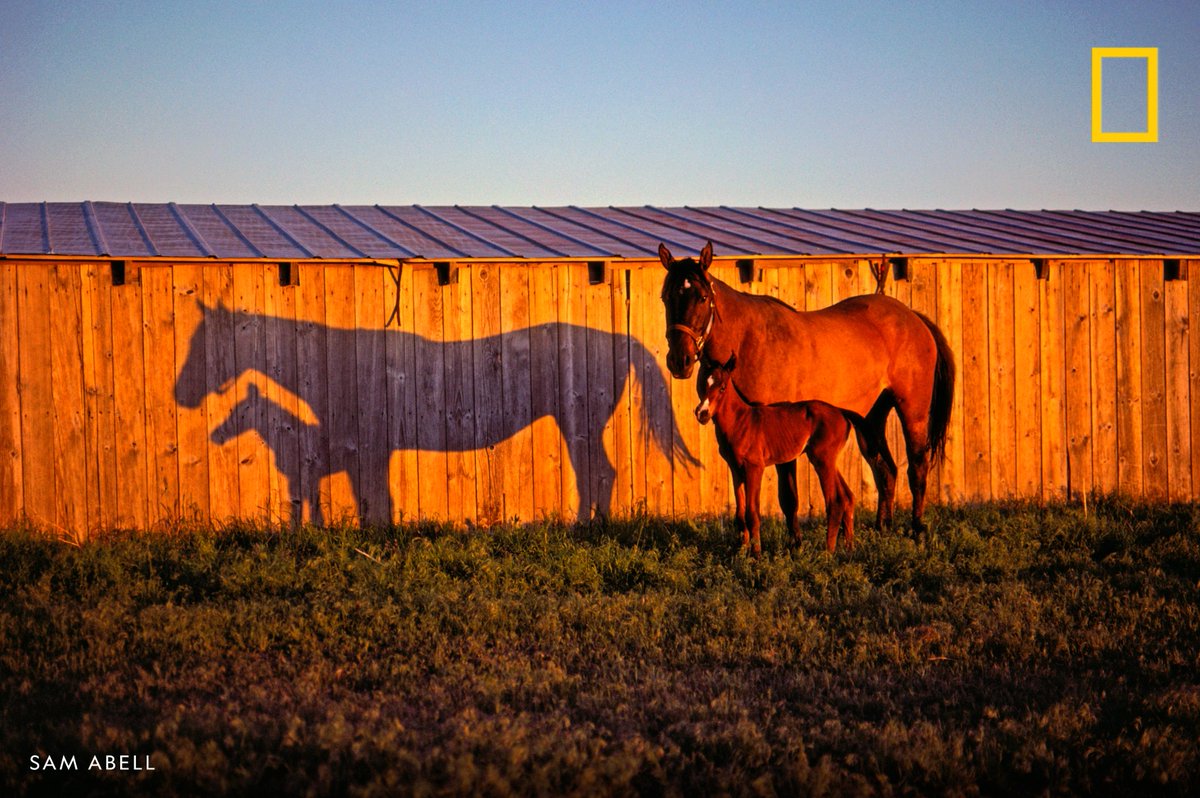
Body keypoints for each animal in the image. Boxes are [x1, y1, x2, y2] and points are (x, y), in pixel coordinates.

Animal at [662, 240, 950, 532]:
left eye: (702, 298)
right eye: (666, 297)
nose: (679, 360)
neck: (748, 340)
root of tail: (913, 317)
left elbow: (788, 496)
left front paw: (794, 542)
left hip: (913, 411)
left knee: (917, 466)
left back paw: (917, 528)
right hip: (871, 417)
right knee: (885, 468)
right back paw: (883, 527)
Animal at [696, 355, 854, 554]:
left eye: (722, 387)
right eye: (704, 384)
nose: (701, 413)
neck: (740, 421)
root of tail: (842, 414)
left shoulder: (754, 468)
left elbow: (752, 513)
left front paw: (756, 554)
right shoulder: (736, 469)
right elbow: (740, 514)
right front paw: (741, 552)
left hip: (822, 460)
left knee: (834, 502)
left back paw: (827, 553)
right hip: (831, 462)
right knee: (847, 497)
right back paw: (849, 548)